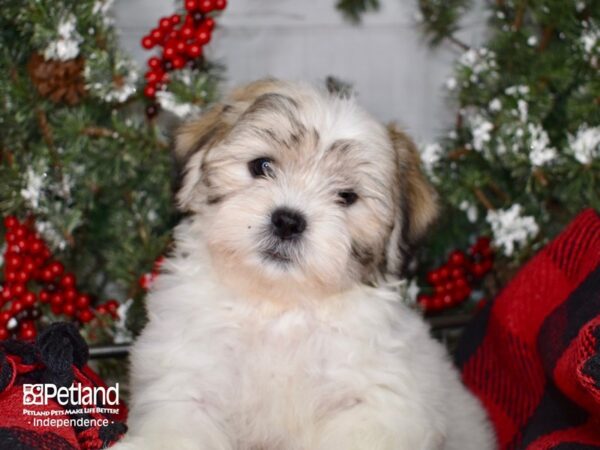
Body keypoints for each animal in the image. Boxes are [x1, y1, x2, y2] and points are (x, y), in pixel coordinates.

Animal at [115, 81, 494, 450]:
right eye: (262, 166)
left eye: (346, 197)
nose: (287, 221)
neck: (279, 309)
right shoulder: (187, 381)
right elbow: (176, 429)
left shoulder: (377, 404)